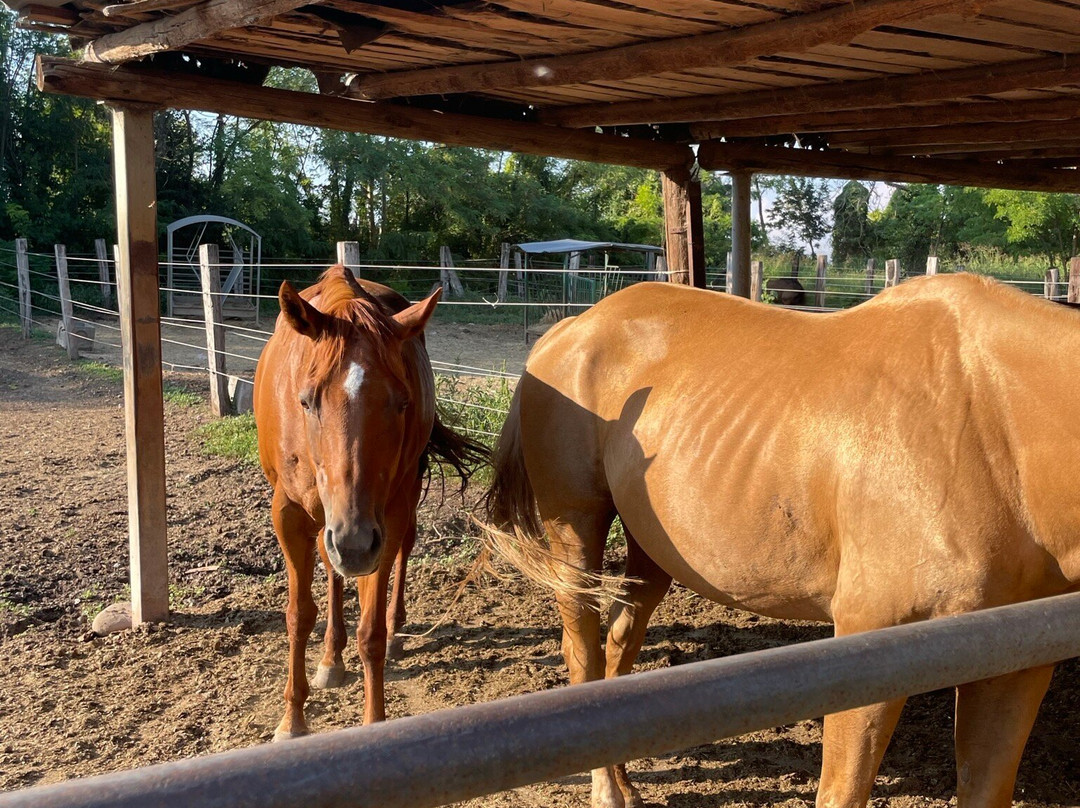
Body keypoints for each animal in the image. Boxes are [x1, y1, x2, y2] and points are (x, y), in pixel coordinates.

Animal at [252, 264, 481, 738]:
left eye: (402, 402)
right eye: (307, 401)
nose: (355, 544)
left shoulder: (382, 520)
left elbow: (370, 633)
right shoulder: (289, 514)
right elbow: (299, 615)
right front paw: (292, 718)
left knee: (402, 549)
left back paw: (393, 632)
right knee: (331, 567)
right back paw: (330, 657)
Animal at [488, 271, 1080, 808]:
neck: (994, 426)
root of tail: (571, 326)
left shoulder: (1014, 664)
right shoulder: (869, 641)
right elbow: (842, 793)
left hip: (652, 549)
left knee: (619, 644)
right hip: (575, 530)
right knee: (582, 648)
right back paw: (608, 791)